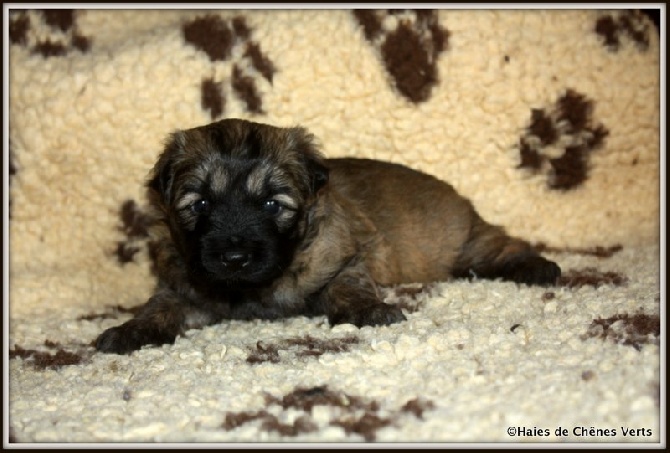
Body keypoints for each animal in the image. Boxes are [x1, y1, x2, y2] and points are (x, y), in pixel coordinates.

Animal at [96, 117, 560, 354]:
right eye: (201, 205)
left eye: (272, 205)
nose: (234, 259)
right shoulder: (182, 286)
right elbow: (158, 308)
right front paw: (130, 331)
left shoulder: (346, 255)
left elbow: (346, 286)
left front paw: (370, 310)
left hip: (464, 241)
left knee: (498, 247)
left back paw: (538, 267)